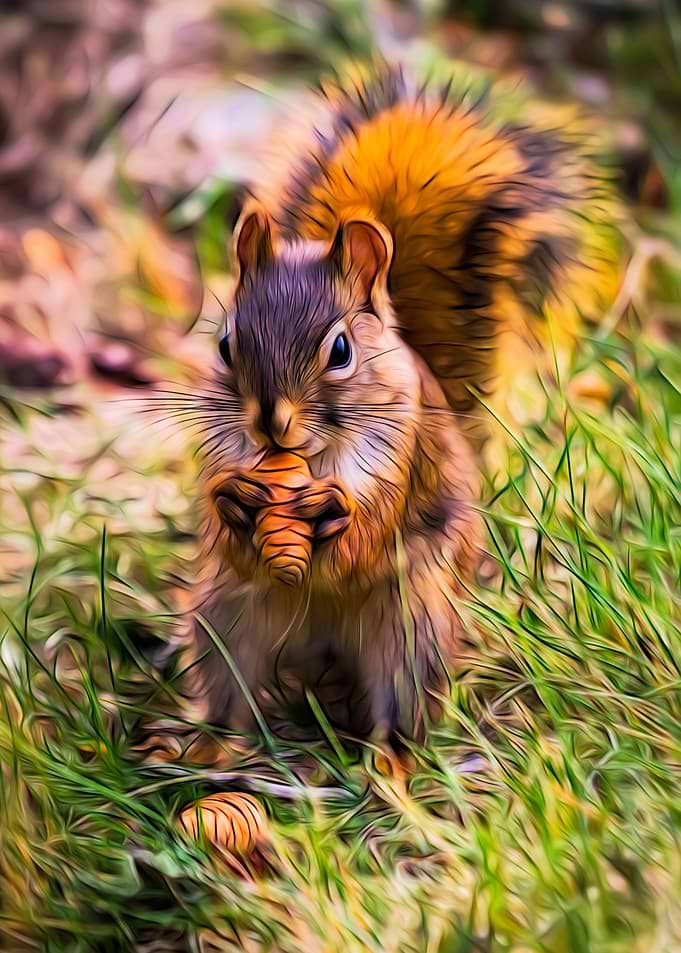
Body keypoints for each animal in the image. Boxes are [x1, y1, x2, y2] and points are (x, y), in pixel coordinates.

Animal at [147, 62, 621, 758]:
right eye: (226, 344)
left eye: (341, 350)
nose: (270, 423)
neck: (310, 460)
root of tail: (319, 654)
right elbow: (224, 521)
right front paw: (232, 500)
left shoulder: (402, 457)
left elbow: (369, 533)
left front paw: (335, 512)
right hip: (226, 618)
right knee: (232, 692)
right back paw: (207, 748)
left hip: (411, 629)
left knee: (401, 708)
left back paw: (389, 762)